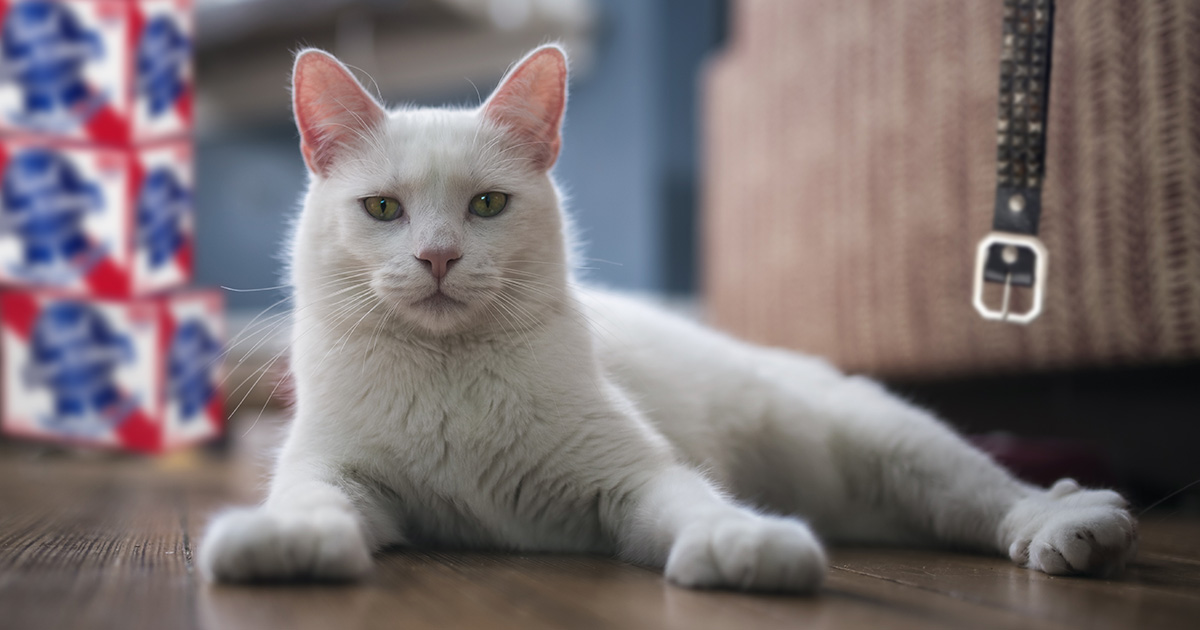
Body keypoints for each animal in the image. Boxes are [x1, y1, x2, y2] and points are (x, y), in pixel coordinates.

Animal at [201, 45, 1137, 590]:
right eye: (384, 209)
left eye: (488, 204)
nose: (437, 257)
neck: (446, 374)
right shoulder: (336, 468)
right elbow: (313, 501)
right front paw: (283, 543)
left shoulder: (630, 475)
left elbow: (691, 501)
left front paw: (743, 546)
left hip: (890, 441)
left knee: (997, 496)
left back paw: (1073, 526)